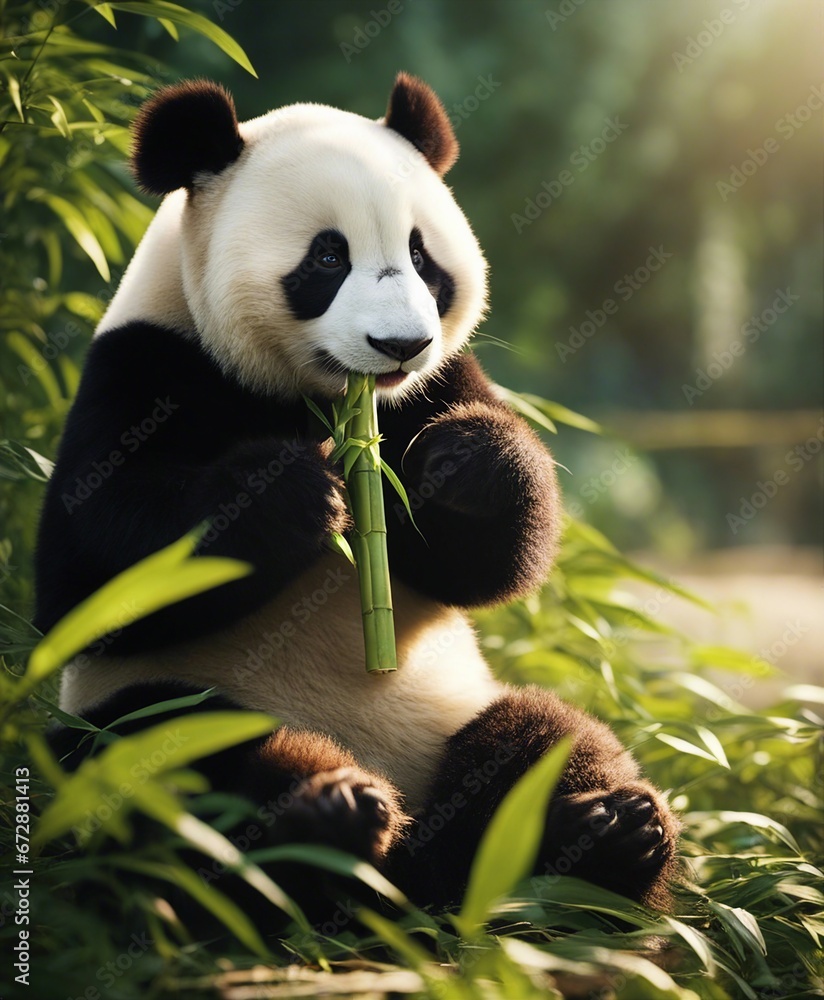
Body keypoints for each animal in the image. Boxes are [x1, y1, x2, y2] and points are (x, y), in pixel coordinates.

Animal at [36, 73, 678, 915]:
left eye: (421, 256)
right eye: (327, 256)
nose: (399, 346)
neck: (316, 399)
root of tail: (401, 878)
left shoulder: (436, 386)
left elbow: (489, 564)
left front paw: (464, 463)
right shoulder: (144, 366)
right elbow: (89, 576)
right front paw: (290, 495)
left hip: (460, 718)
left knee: (545, 737)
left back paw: (605, 835)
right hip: (158, 714)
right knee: (163, 754)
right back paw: (327, 820)